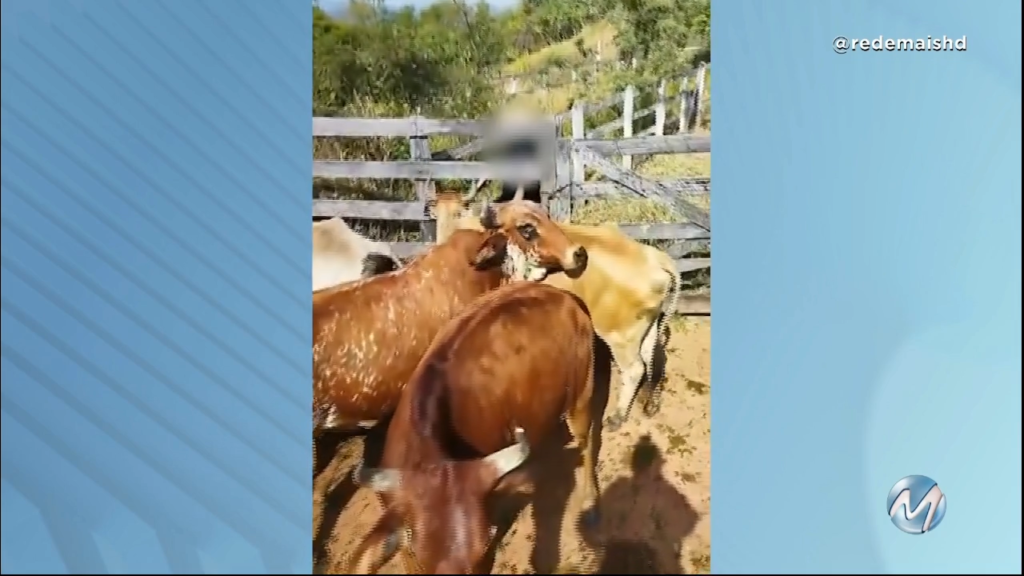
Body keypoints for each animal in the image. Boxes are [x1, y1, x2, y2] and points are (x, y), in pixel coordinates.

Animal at [348, 280, 598, 569]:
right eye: (415, 553)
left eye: (486, 547)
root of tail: (559, 292)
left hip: (581, 394)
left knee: (586, 441)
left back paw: (590, 501)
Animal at [428, 181, 684, 428]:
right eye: (437, 212)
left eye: (526, 228)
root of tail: (656, 259)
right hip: (646, 329)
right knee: (651, 359)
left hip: (620, 337)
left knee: (635, 369)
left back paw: (617, 416)